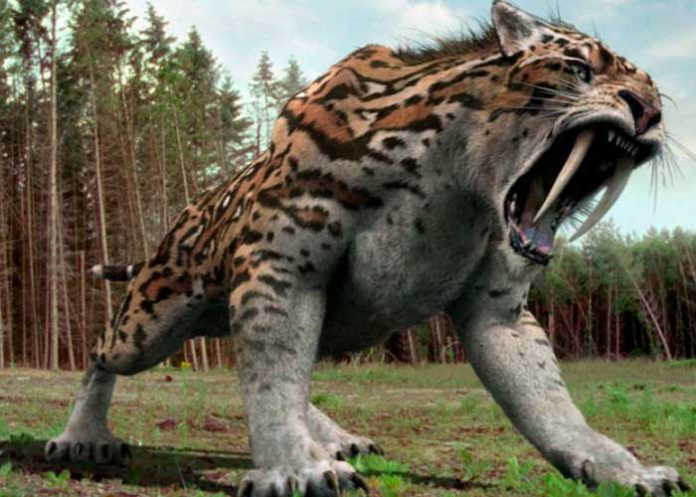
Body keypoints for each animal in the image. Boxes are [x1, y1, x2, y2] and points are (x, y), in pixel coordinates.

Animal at [46, 2, 690, 496]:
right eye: (579, 69)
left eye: (654, 92)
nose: (651, 112)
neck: (460, 181)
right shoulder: (283, 266)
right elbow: (272, 382)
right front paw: (296, 468)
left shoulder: (500, 309)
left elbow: (552, 405)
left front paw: (623, 468)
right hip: (151, 322)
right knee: (103, 354)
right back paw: (83, 438)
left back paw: (336, 438)